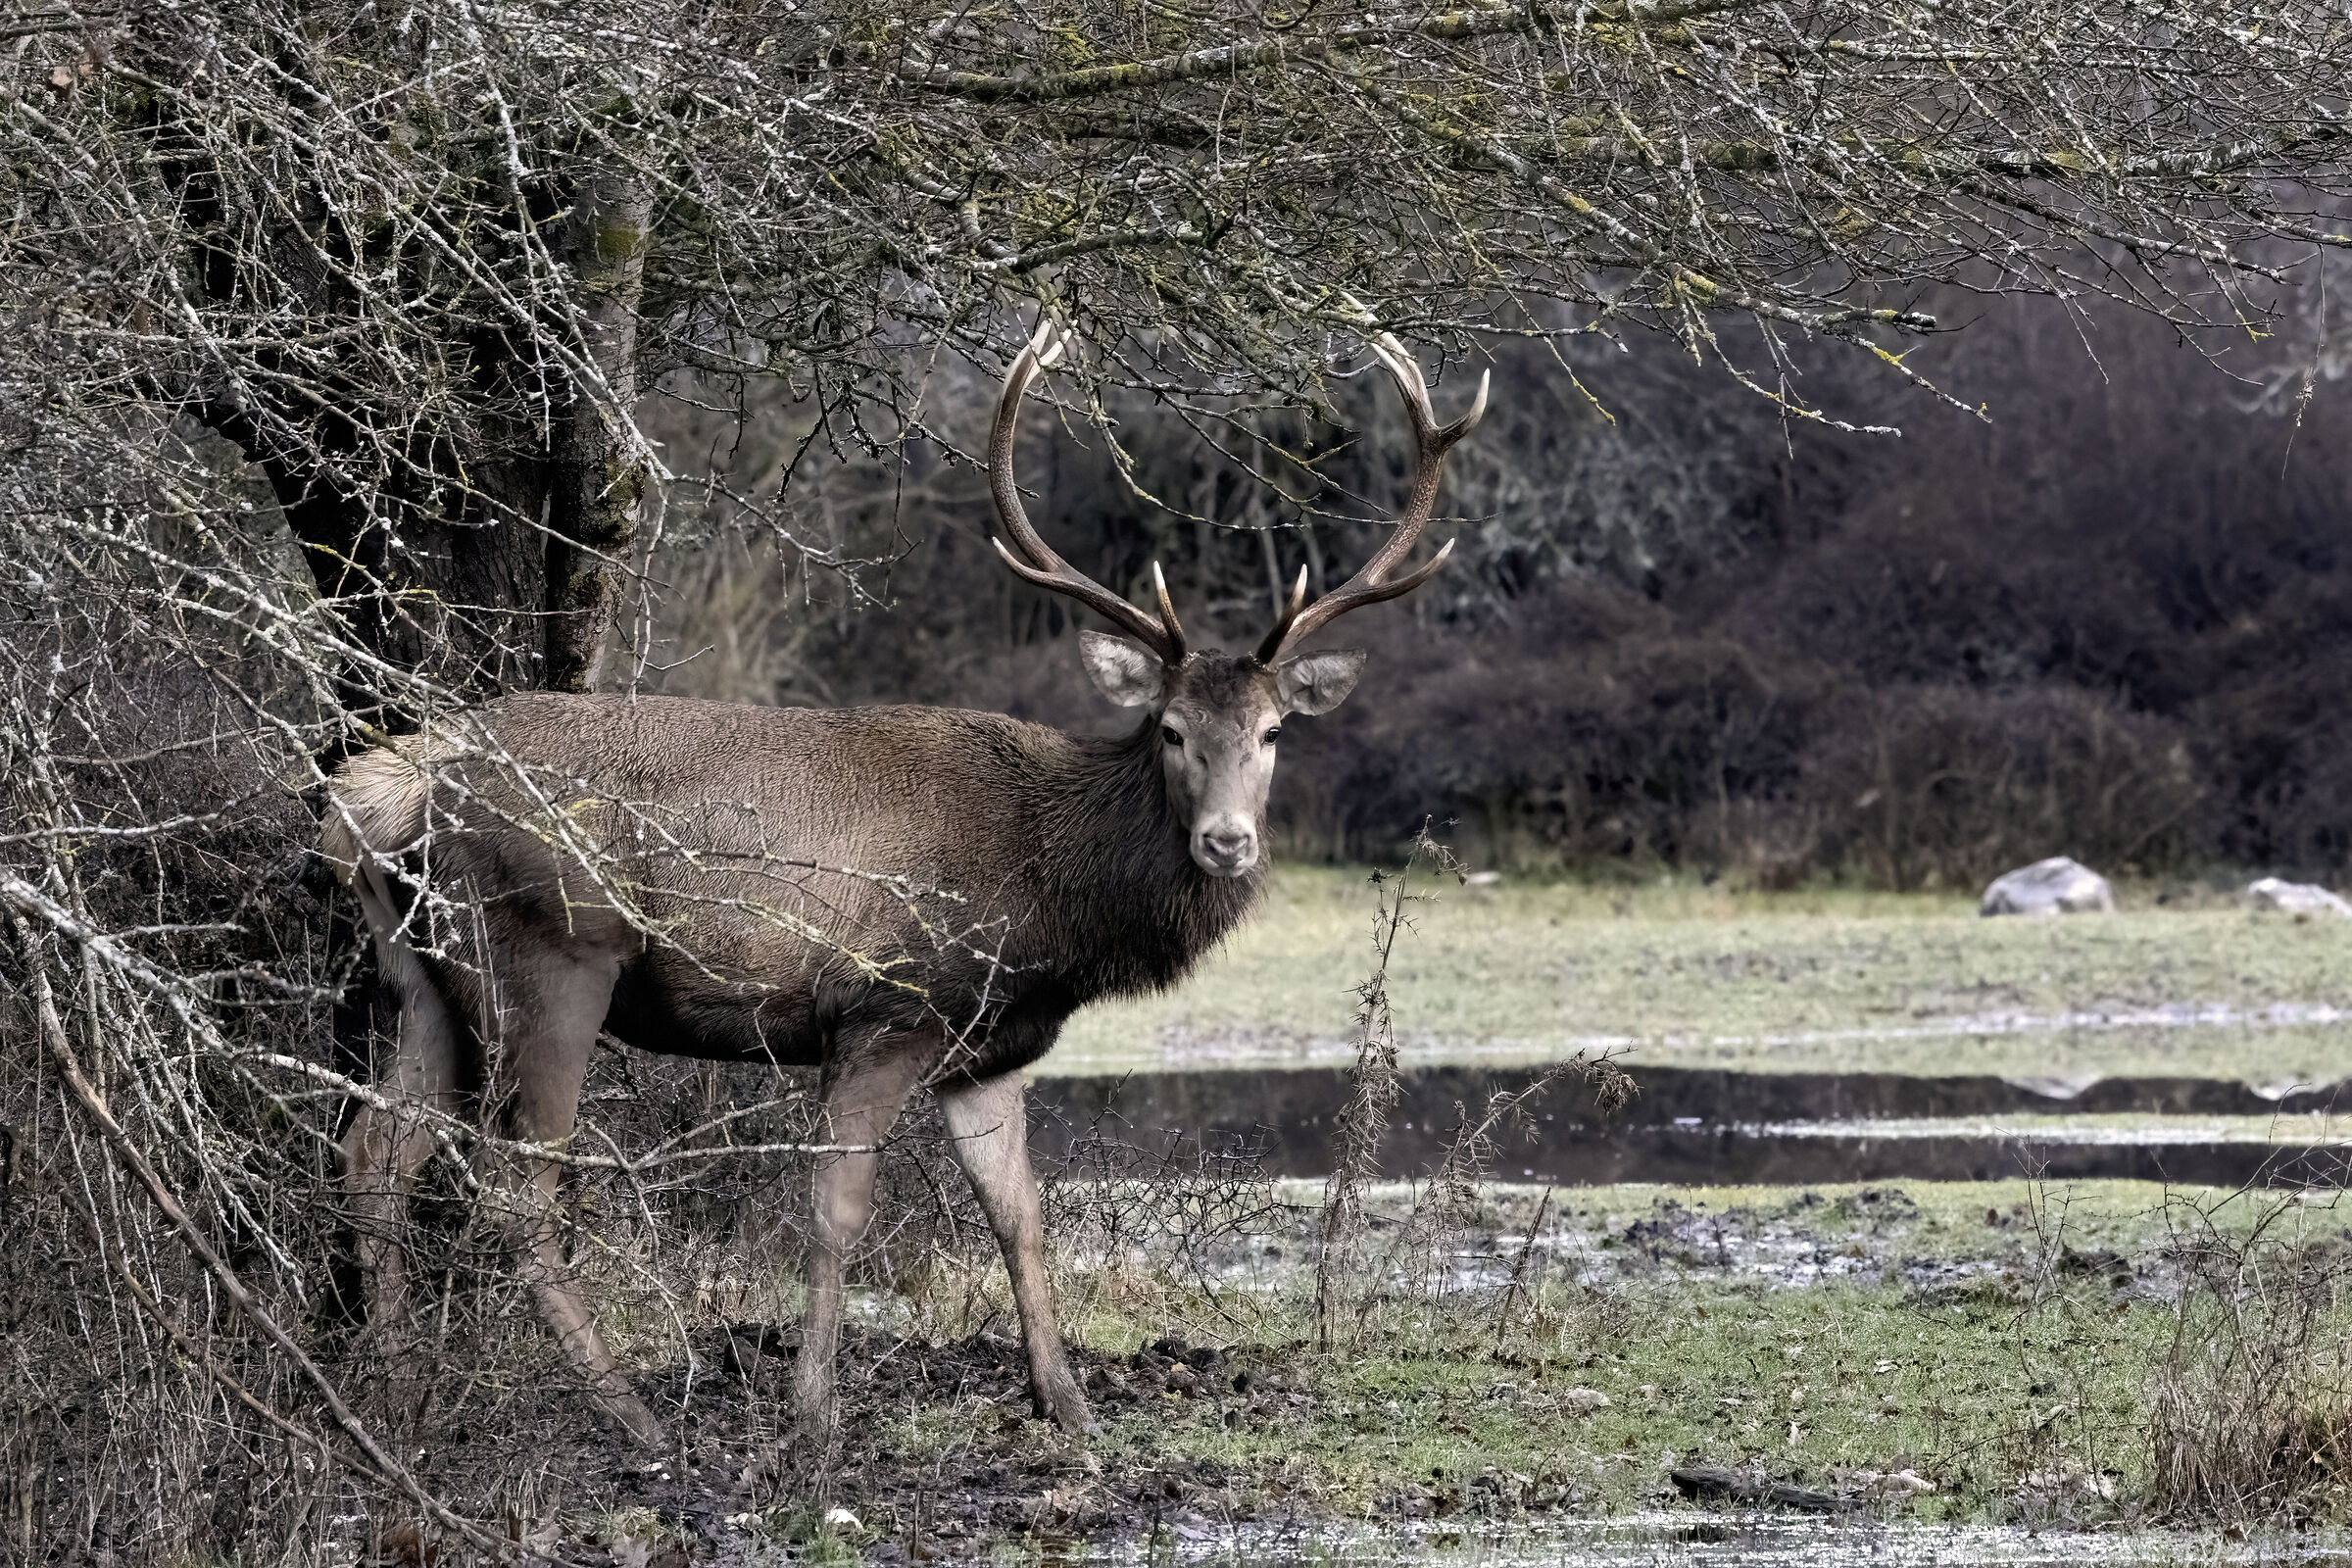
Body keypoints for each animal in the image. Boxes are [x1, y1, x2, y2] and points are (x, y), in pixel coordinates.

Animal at [320, 324, 1487, 1447]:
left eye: (1275, 731)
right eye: (1169, 729)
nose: (1228, 842)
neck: (1050, 899)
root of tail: (392, 786)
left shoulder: (992, 1048)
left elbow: (1020, 1215)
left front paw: (1068, 1407)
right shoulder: (886, 1011)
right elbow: (838, 1212)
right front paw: (813, 1417)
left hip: (423, 973)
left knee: (375, 1153)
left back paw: (389, 1395)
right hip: (549, 954)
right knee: (513, 1187)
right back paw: (632, 1416)